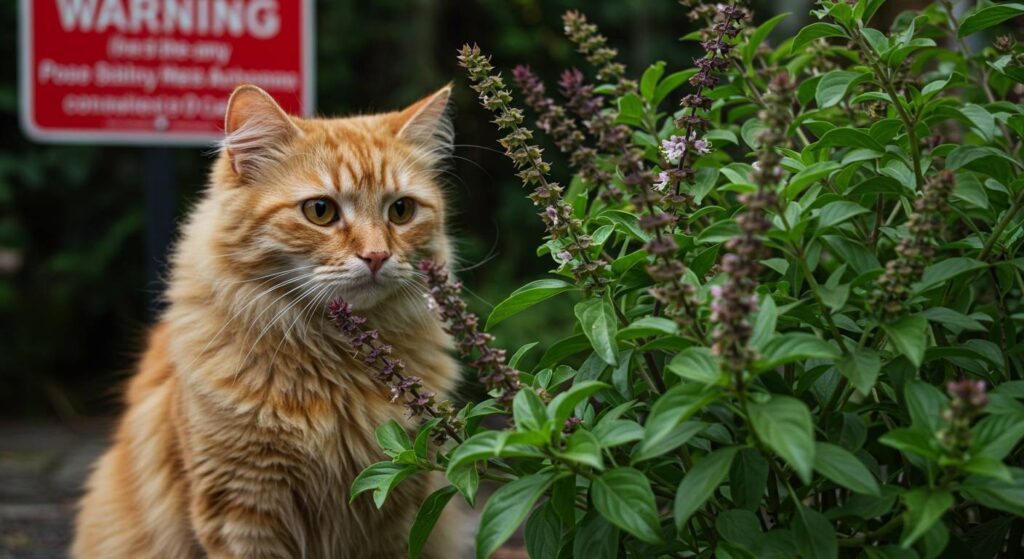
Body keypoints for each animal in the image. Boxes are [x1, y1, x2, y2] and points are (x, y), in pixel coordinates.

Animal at [70, 83, 468, 556]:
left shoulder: (394, 501)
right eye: (320, 211)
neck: (333, 362)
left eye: (402, 211)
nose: (376, 256)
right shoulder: (240, 508)